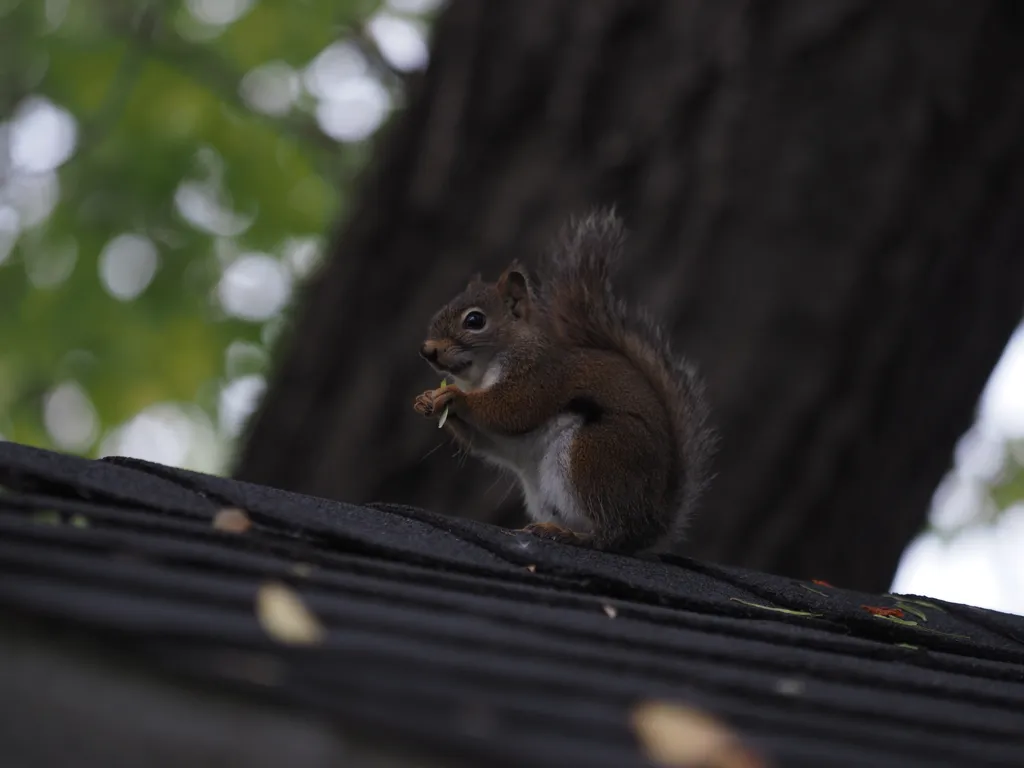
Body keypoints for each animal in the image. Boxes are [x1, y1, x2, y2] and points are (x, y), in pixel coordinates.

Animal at [411, 210, 716, 552]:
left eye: (474, 320)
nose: (427, 350)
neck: (482, 372)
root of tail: (650, 525)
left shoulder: (539, 373)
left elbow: (512, 409)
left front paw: (454, 397)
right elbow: (485, 439)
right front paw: (426, 401)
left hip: (593, 456)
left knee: (610, 534)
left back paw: (571, 535)